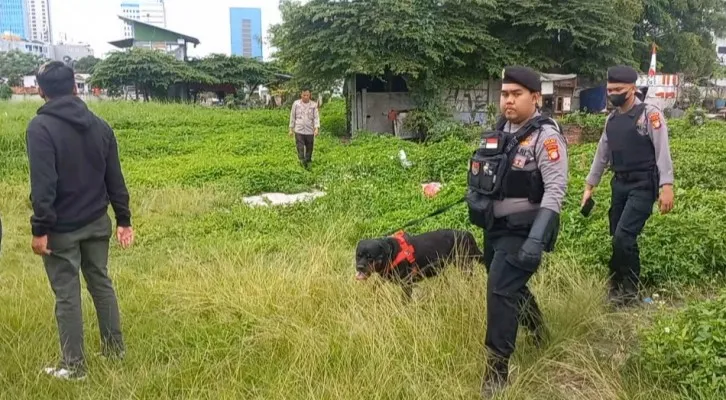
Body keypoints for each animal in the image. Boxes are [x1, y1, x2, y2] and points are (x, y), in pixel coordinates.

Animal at [356, 230, 486, 298]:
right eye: (358, 255)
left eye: (370, 257)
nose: (359, 267)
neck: (392, 254)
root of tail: (467, 233)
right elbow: (375, 286)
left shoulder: (407, 283)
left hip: (464, 264)